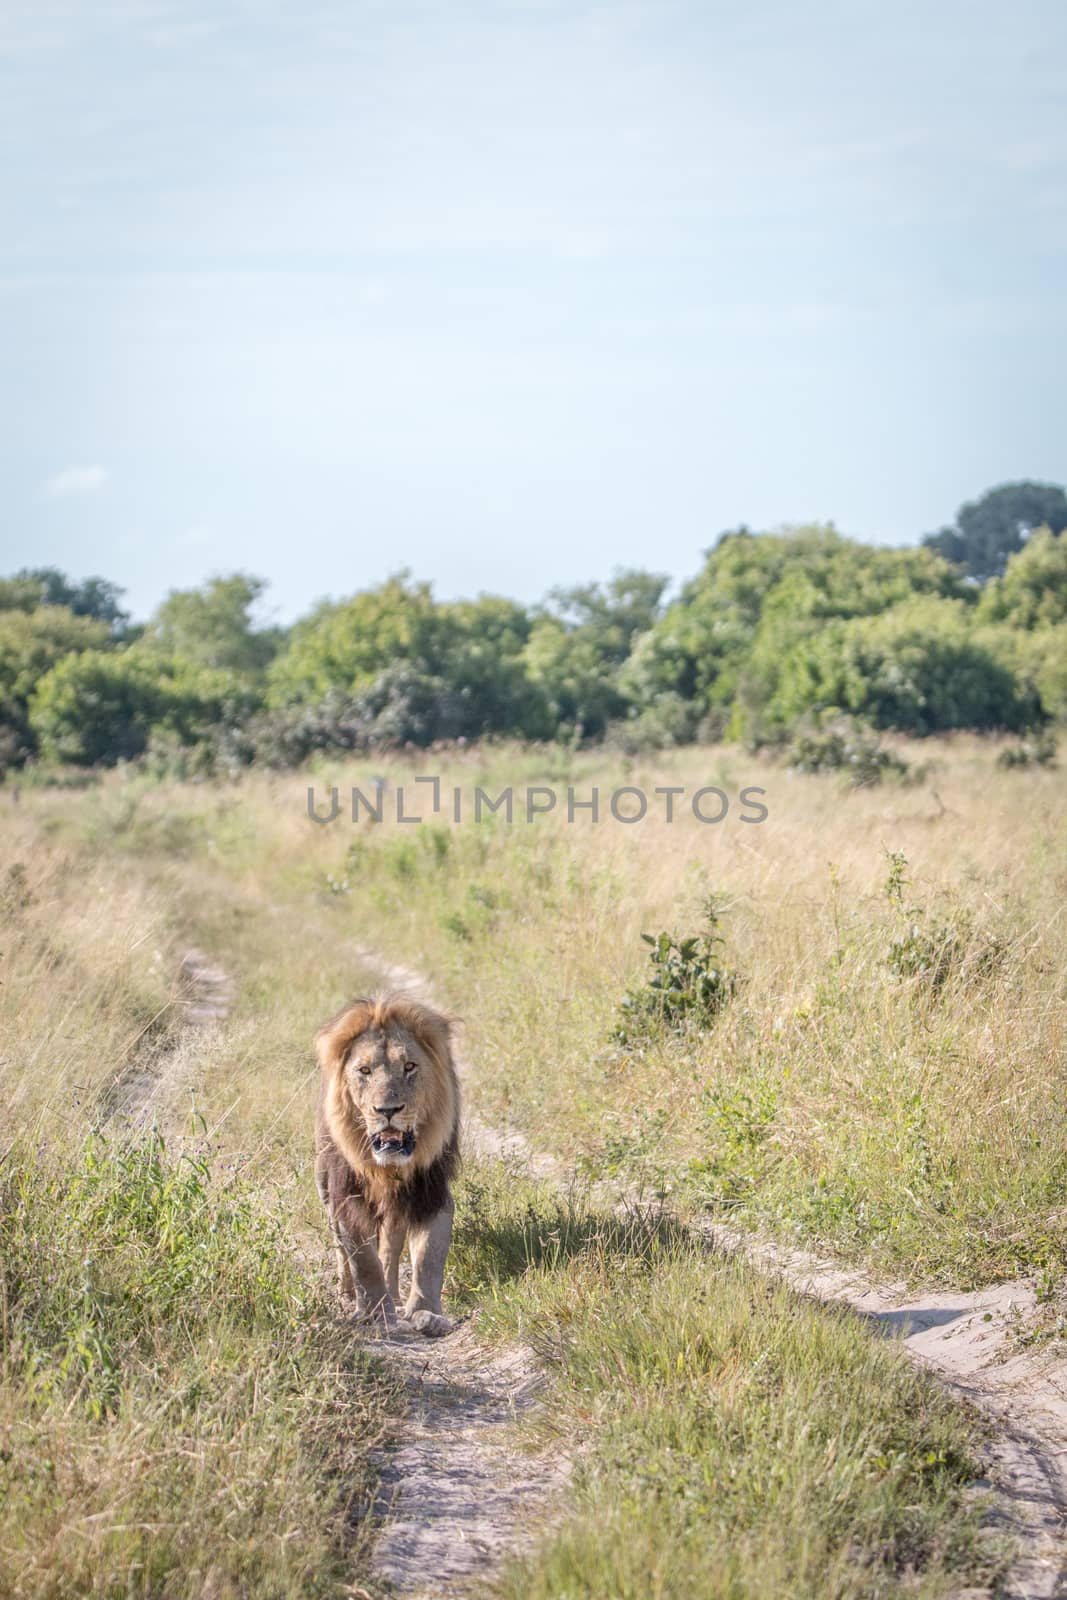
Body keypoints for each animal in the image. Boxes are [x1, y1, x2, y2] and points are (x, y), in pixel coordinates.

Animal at [310, 992, 457, 1331]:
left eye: (410, 1066)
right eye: (364, 1071)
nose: (387, 1110)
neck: (386, 1169)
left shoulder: (430, 1192)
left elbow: (429, 1256)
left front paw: (427, 1313)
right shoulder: (345, 1195)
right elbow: (363, 1260)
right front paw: (376, 1313)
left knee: (390, 1247)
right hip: (323, 1183)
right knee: (341, 1248)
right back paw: (347, 1294)